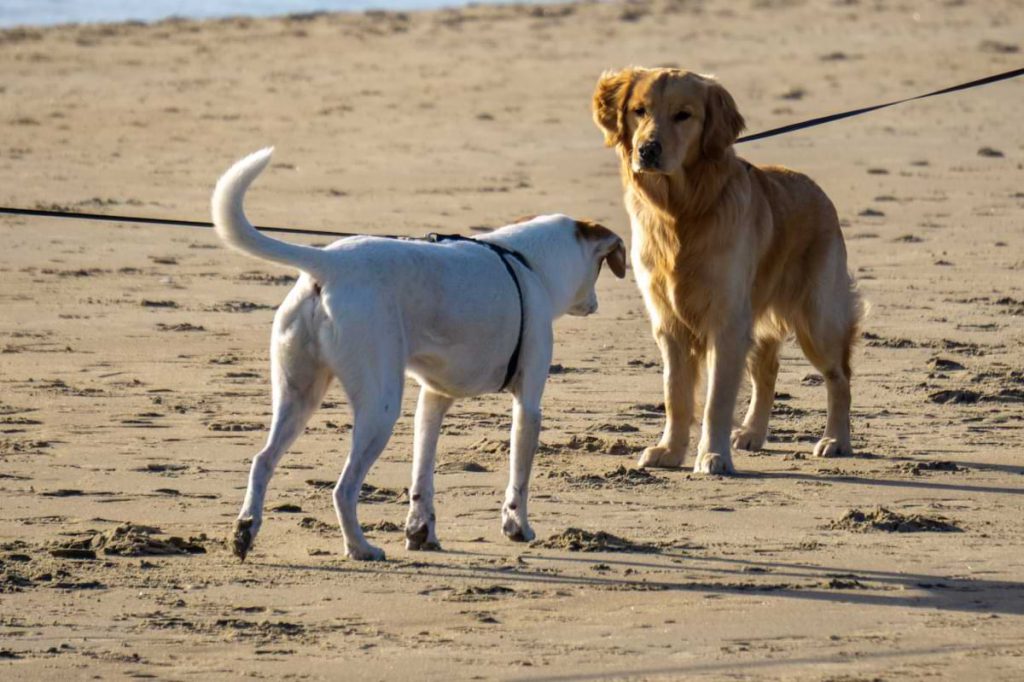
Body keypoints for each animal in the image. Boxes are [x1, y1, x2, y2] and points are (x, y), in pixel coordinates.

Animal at [209, 147, 622, 557]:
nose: (597, 303)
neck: (527, 264)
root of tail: (329, 263)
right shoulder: (529, 403)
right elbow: (518, 477)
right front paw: (517, 527)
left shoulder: (433, 399)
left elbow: (423, 473)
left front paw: (420, 531)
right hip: (379, 406)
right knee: (343, 488)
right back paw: (360, 547)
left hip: (297, 394)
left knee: (263, 461)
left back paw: (245, 529)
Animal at [593, 69, 864, 473]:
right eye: (639, 111)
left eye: (683, 115)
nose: (648, 150)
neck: (681, 210)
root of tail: (819, 192)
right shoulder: (670, 324)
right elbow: (676, 395)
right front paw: (670, 451)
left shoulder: (726, 321)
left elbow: (716, 400)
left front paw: (713, 455)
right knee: (767, 371)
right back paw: (752, 432)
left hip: (818, 320)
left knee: (839, 376)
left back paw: (836, 439)